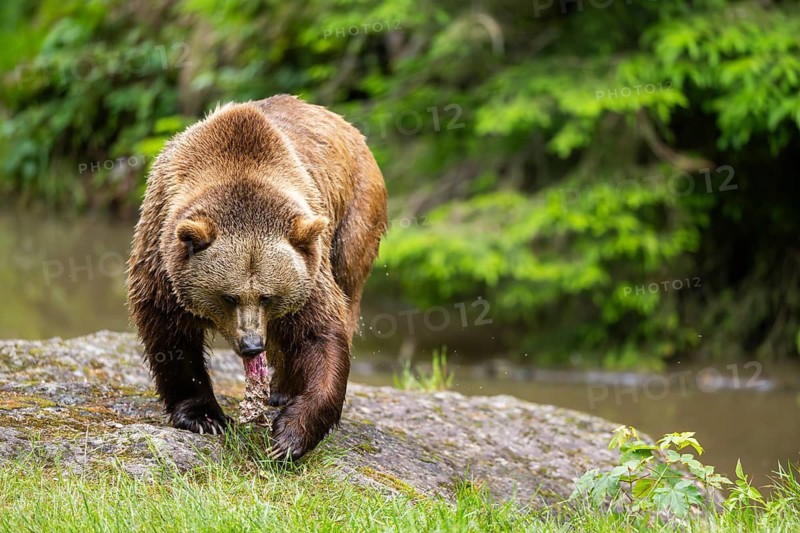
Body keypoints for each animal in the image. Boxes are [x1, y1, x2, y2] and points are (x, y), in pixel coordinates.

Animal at [126, 94, 387, 460]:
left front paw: (288, 437)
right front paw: (204, 417)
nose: (251, 345)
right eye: (228, 296)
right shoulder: (161, 243)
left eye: (267, 296)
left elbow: (321, 332)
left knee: (347, 287)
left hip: (355, 215)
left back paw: (283, 390)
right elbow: (167, 326)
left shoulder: (309, 262)